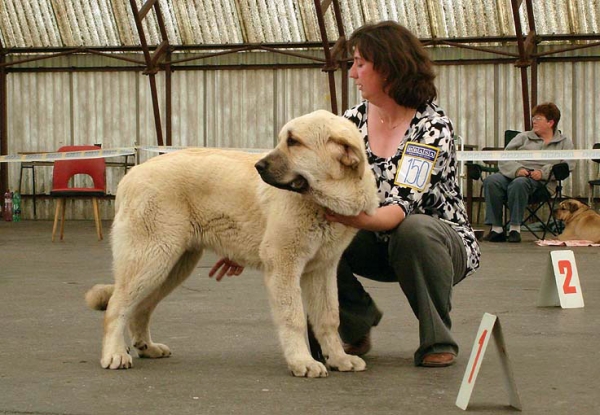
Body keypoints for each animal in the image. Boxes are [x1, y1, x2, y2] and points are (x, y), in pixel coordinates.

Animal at [85, 109, 376, 376]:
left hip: (172, 266)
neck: (322, 200)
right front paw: (302, 362)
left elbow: (329, 317)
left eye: (294, 142)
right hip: (151, 259)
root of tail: (130, 176)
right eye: (284, 140)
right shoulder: (284, 265)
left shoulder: (322, 269)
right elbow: (293, 317)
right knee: (117, 306)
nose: (258, 167)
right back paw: (114, 354)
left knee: (141, 309)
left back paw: (147, 347)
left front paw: (338, 358)